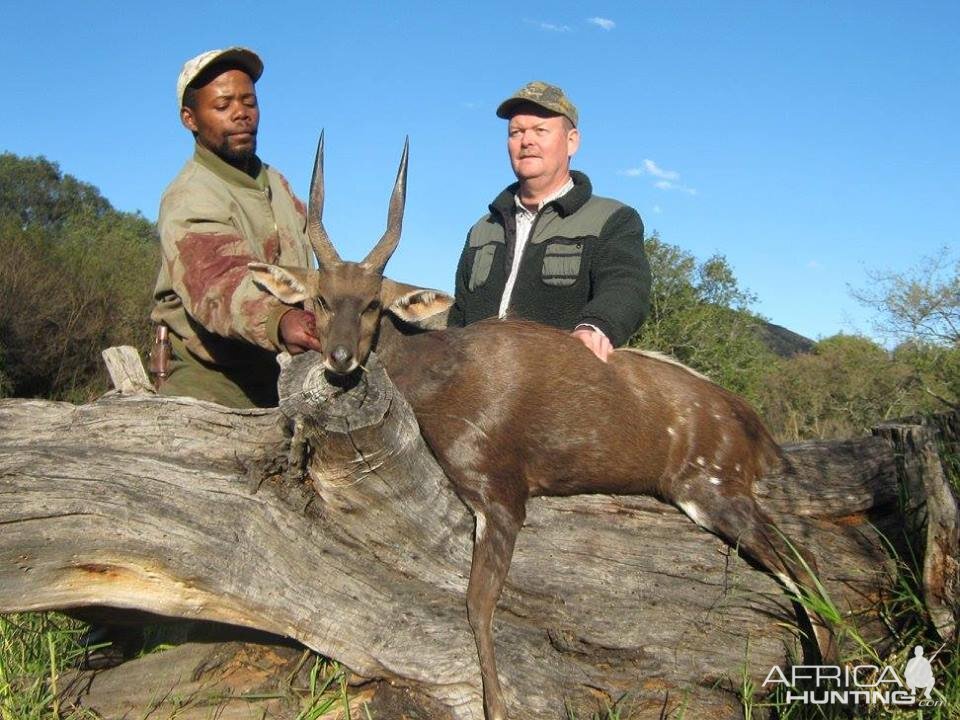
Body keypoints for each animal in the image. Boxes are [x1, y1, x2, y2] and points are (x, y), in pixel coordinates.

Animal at [248, 134, 832, 720]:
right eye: (320, 301)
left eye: (373, 304)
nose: (341, 358)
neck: (438, 372)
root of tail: (753, 426)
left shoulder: (500, 494)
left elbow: (478, 607)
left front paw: (497, 705)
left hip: (714, 489)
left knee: (808, 571)